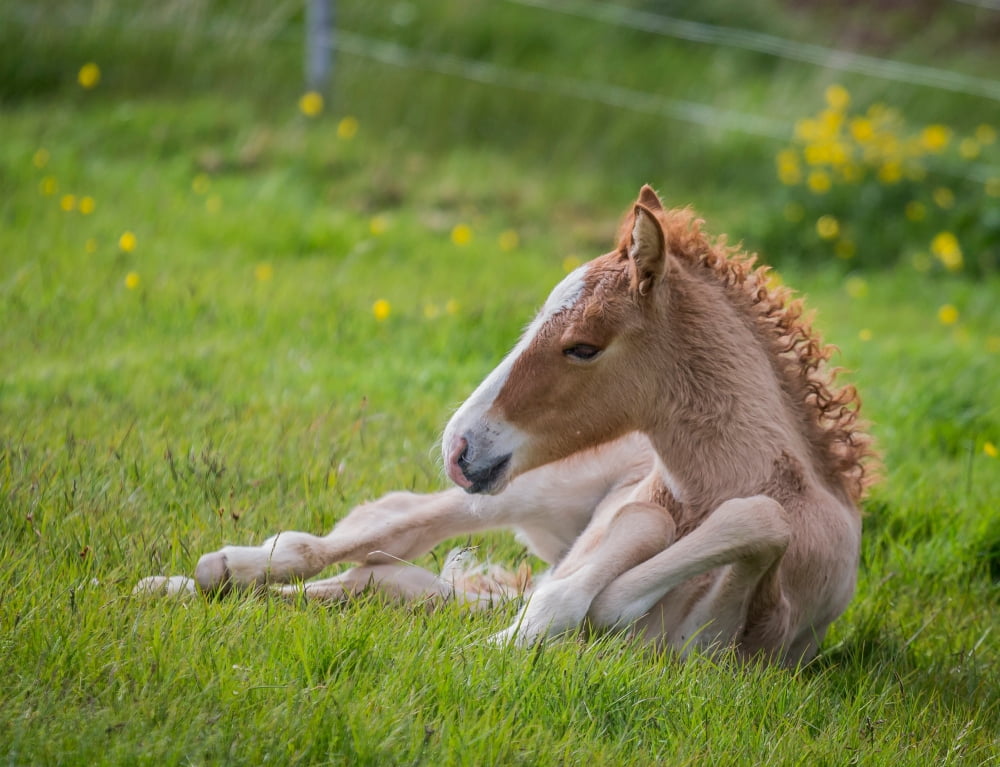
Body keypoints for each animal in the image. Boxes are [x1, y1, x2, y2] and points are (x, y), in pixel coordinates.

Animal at [138, 185, 876, 665]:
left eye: (583, 346)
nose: (459, 445)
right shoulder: (613, 530)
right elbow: (599, 572)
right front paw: (510, 641)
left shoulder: (732, 650)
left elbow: (745, 528)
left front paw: (513, 636)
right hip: (526, 486)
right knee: (380, 529)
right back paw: (199, 575)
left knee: (382, 576)